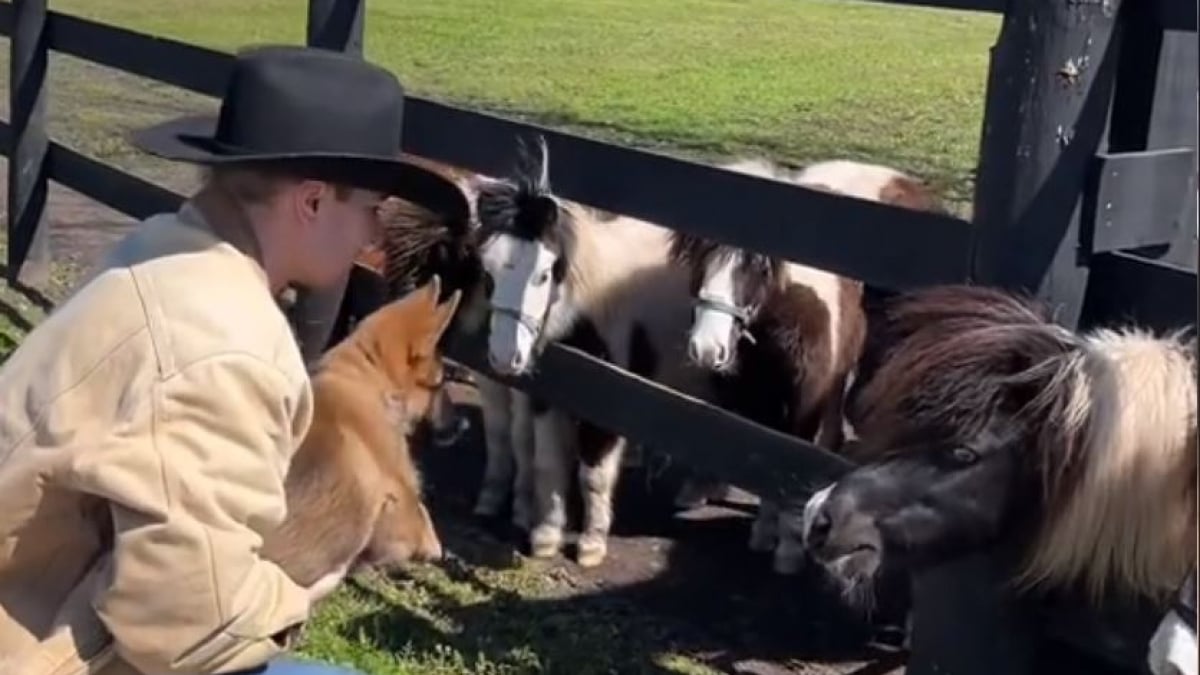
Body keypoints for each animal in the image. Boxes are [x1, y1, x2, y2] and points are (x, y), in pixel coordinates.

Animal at [468, 138, 715, 566]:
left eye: (543, 274)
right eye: (489, 271)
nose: (504, 357)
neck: (591, 311)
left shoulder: (607, 405)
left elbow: (594, 474)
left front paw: (591, 543)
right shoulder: (551, 396)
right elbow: (549, 462)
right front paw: (547, 536)